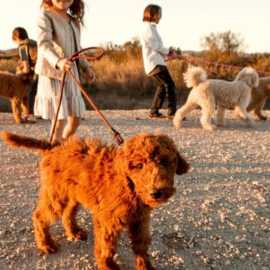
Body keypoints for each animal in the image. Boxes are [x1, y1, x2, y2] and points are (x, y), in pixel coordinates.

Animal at [0, 132, 190, 268]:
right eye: (138, 165)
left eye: (164, 161)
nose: (156, 192)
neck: (129, 186)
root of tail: (54, 146)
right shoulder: (108, 220)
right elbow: (106, 247)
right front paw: (108, 266)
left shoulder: (140, 220)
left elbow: (141, 245)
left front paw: (145, 265)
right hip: (57, 195)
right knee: (40, 215)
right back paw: (46, 244)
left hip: (74, 193)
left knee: (68, 213)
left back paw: (74, 232)